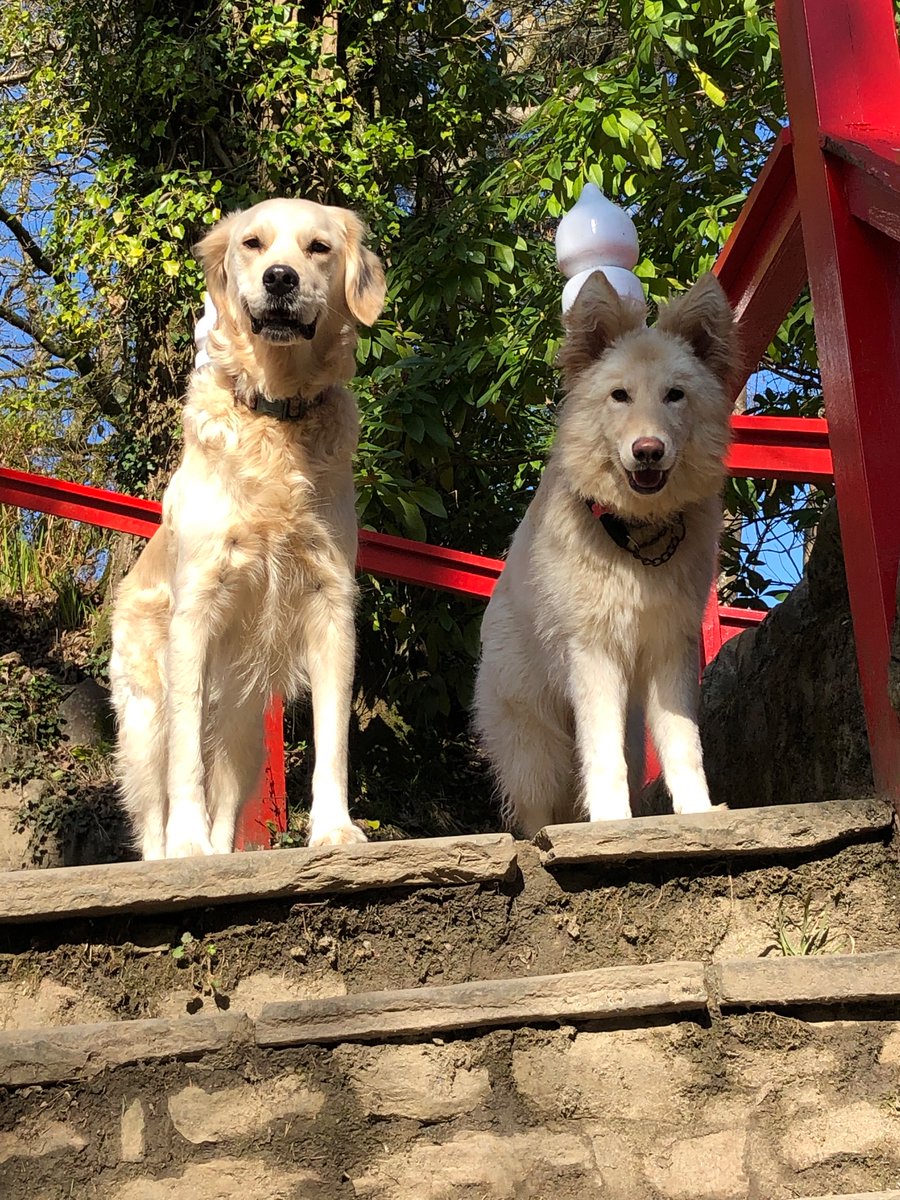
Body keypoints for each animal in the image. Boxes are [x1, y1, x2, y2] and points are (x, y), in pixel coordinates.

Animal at [108, 196, 384, 859]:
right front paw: (185, 847)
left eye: (318, 248)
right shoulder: (195, 611)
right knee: (151, 804)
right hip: (144, 717)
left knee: (228, 803)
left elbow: (333, 741)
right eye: (252, 244)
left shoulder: (331, 602)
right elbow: (186, 763)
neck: (276, 414)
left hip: (245, 728)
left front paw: (334, 829)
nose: (280, 280)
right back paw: (167, 854)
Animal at [475, 271, 734, 835]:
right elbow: (601, 753)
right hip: (536, 749)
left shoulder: (670, 649)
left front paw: (698, 812)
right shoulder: (592, 654)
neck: (637, 538)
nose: (648, 451)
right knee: (536, 808)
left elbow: (684, 743)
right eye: (620, 396)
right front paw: (612, 821)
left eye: (675, 396)